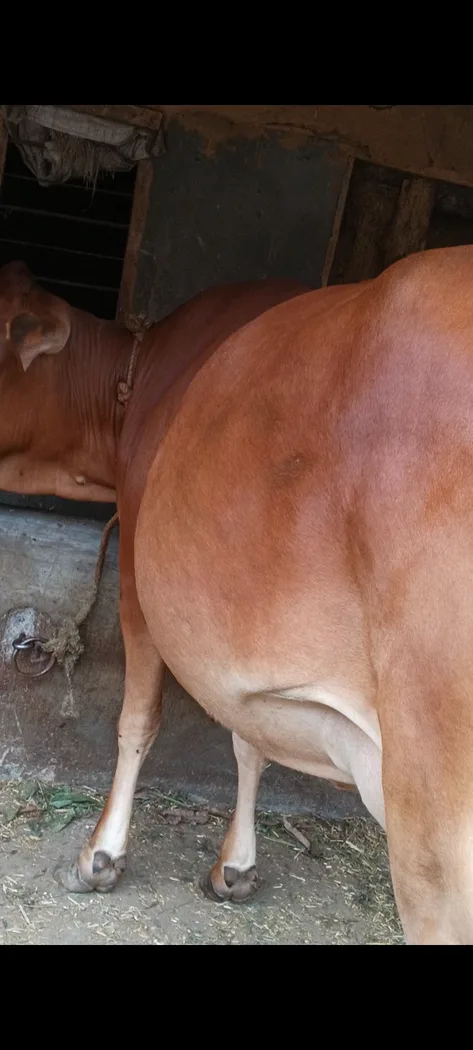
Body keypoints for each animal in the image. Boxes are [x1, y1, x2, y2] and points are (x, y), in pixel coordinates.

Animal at [1, 248, 473, 944]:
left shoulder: (138, 571)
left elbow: (138, 718)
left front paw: (101, 854)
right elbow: (249, 738)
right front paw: (236, 865)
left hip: (432, 821)